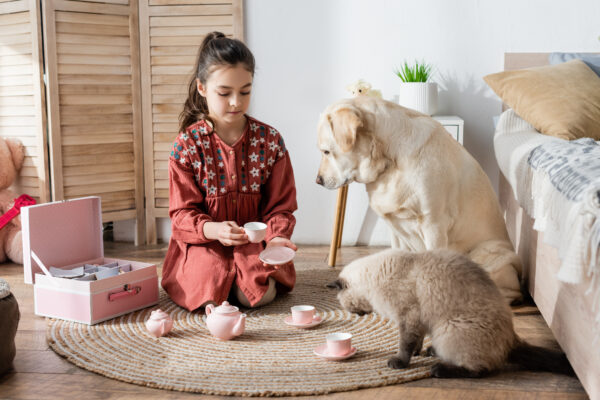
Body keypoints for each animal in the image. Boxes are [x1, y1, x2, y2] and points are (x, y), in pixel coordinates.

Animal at [316, 97, 524, 304]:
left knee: (508, 292)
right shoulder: (395, 227)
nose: (318, 180)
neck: (390, 161)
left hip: (487, 253)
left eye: (326, 152)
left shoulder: (434, 224)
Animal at [330, 248, 576, 376]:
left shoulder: (409, 318)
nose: (356, 315)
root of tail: (511, 339)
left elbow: (405, 344)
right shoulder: (418, 322)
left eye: (346, 306)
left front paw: (399, 362)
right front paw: (418, 353)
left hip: (449, 329)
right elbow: (416, 341)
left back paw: (440, 369)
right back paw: (432, 352)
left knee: (480, 370)